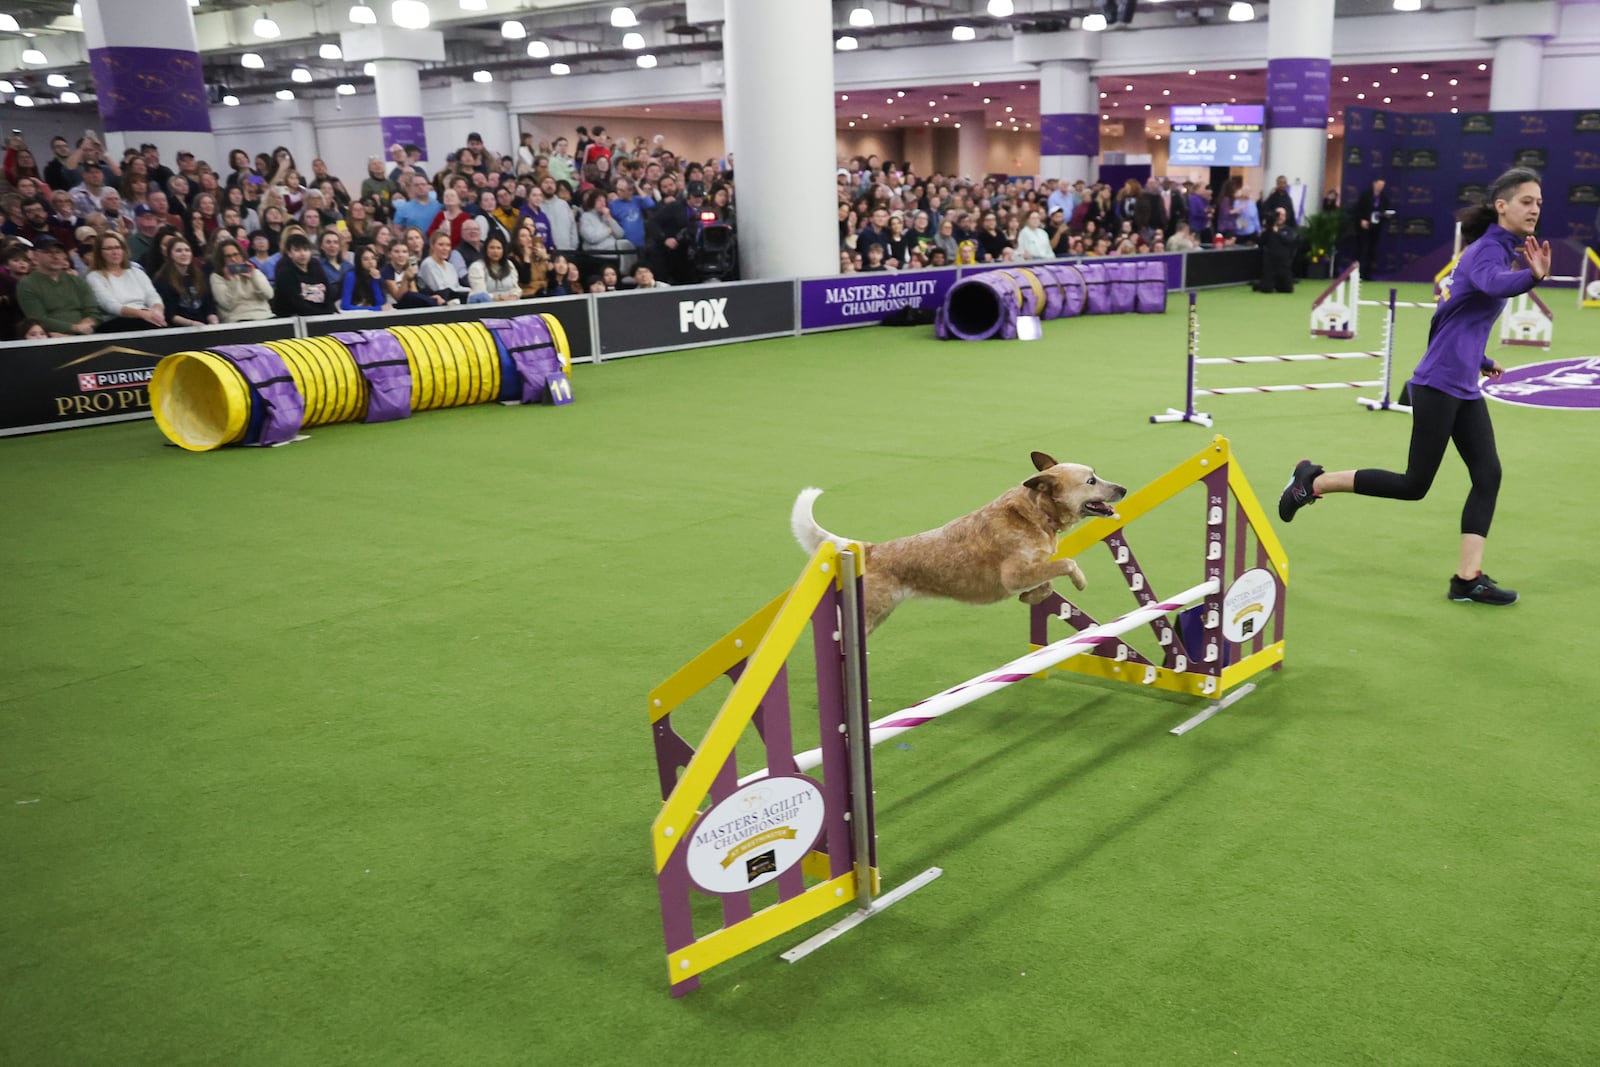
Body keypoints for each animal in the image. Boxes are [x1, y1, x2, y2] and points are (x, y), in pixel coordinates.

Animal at [790, 454, 1126, 633]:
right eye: (1091, 481)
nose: (1123, 488)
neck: (1035, 514)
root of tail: (871, 549)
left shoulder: (1031, 571)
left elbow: (1046, 585)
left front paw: (1030, 598)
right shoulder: (1014, 574)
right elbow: (1066, 563)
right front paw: (1080, 581)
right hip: (868, 615)